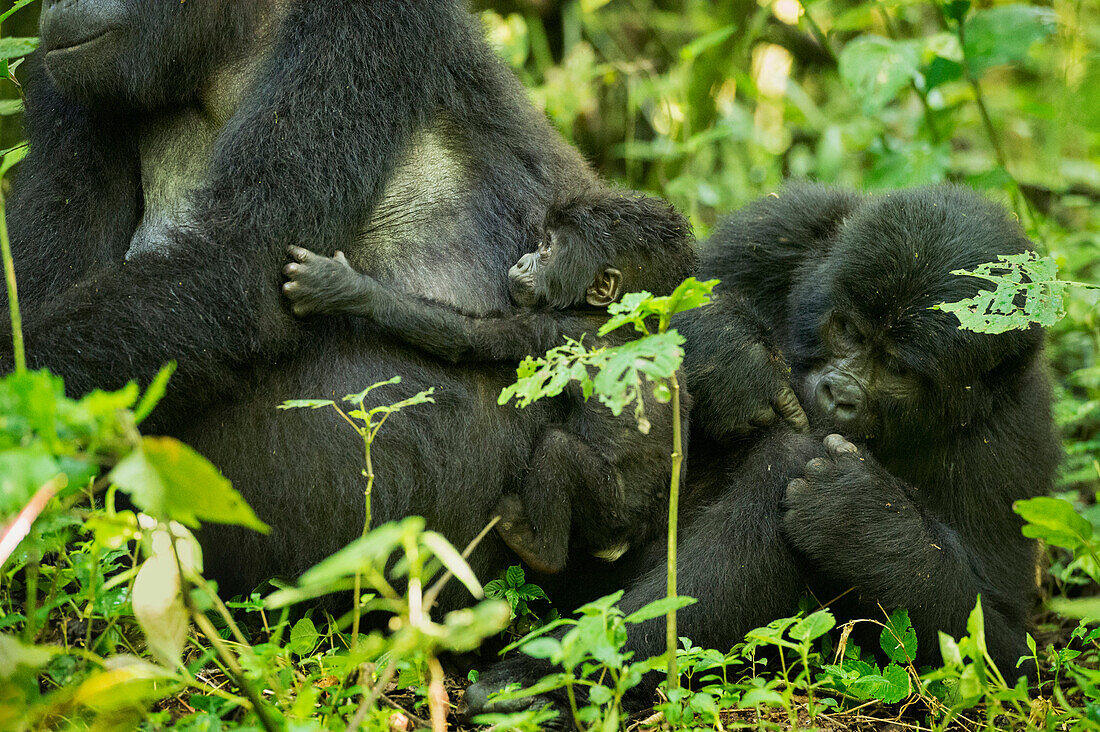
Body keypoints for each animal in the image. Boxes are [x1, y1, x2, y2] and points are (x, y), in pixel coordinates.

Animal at [283, 189, 695, 576]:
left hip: (609, 513)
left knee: (558, 450)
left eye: (548, 248)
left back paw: (539, 549)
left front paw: (343, 288)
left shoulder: (553, 327)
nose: (523, 260)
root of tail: (623, 541)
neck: (618, 321)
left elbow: (468, 337)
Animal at [468, 186, 1060, 717]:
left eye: (897, 369)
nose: (838, 395)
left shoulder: (1015, 439)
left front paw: (869, 525)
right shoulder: (777, 227)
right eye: (847, 330)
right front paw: (731, 354)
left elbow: (1004, 656)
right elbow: (666, 287)